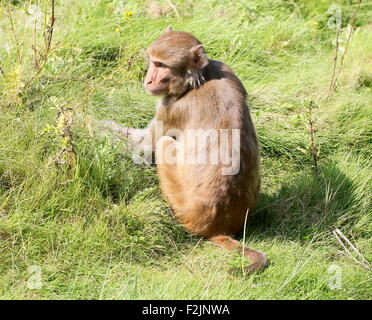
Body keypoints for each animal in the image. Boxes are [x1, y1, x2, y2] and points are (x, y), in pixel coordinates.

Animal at [103, 27, 268, 272]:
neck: (197, 81)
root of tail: (219, 227)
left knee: (164, 144)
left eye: (161, 65)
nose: (148, 79)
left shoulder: (171, 108)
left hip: (180, 204)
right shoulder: (228, 70)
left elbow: (142, 148)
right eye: (153, 62)